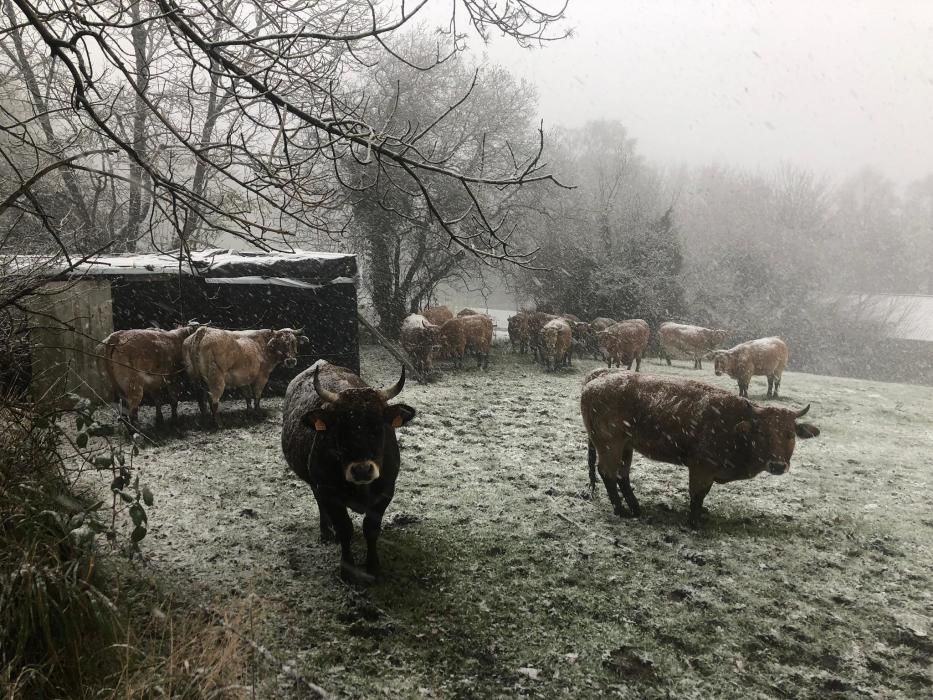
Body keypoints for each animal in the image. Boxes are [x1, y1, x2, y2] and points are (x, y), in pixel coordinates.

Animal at [580, 370, 820, 528]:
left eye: (790, 434)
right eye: (762, 433)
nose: (778, 465)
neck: (735, 425)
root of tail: (598, 378)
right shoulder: (701, 467)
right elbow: (697, 494)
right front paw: (694, 522)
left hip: (626, 447)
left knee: (622, 475)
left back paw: (635, 507)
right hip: (610, 445)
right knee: (608, 473)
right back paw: (621, 510)